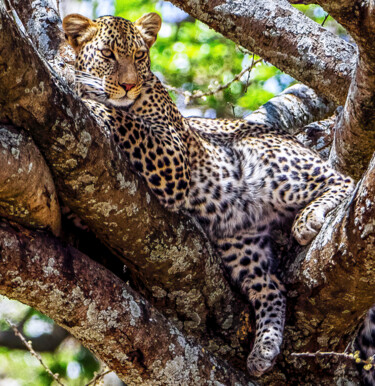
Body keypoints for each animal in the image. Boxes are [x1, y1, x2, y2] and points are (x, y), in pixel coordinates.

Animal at [63, 12, 356, 376]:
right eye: (108, 55)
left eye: (139, 56)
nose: (130, 85)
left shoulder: (173, 155)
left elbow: (122, 118)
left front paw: (84, 95)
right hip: (238, 240)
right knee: (271, 287)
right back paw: (263, 349)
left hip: (266, 162)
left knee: (344, 181)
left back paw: (308, 219)